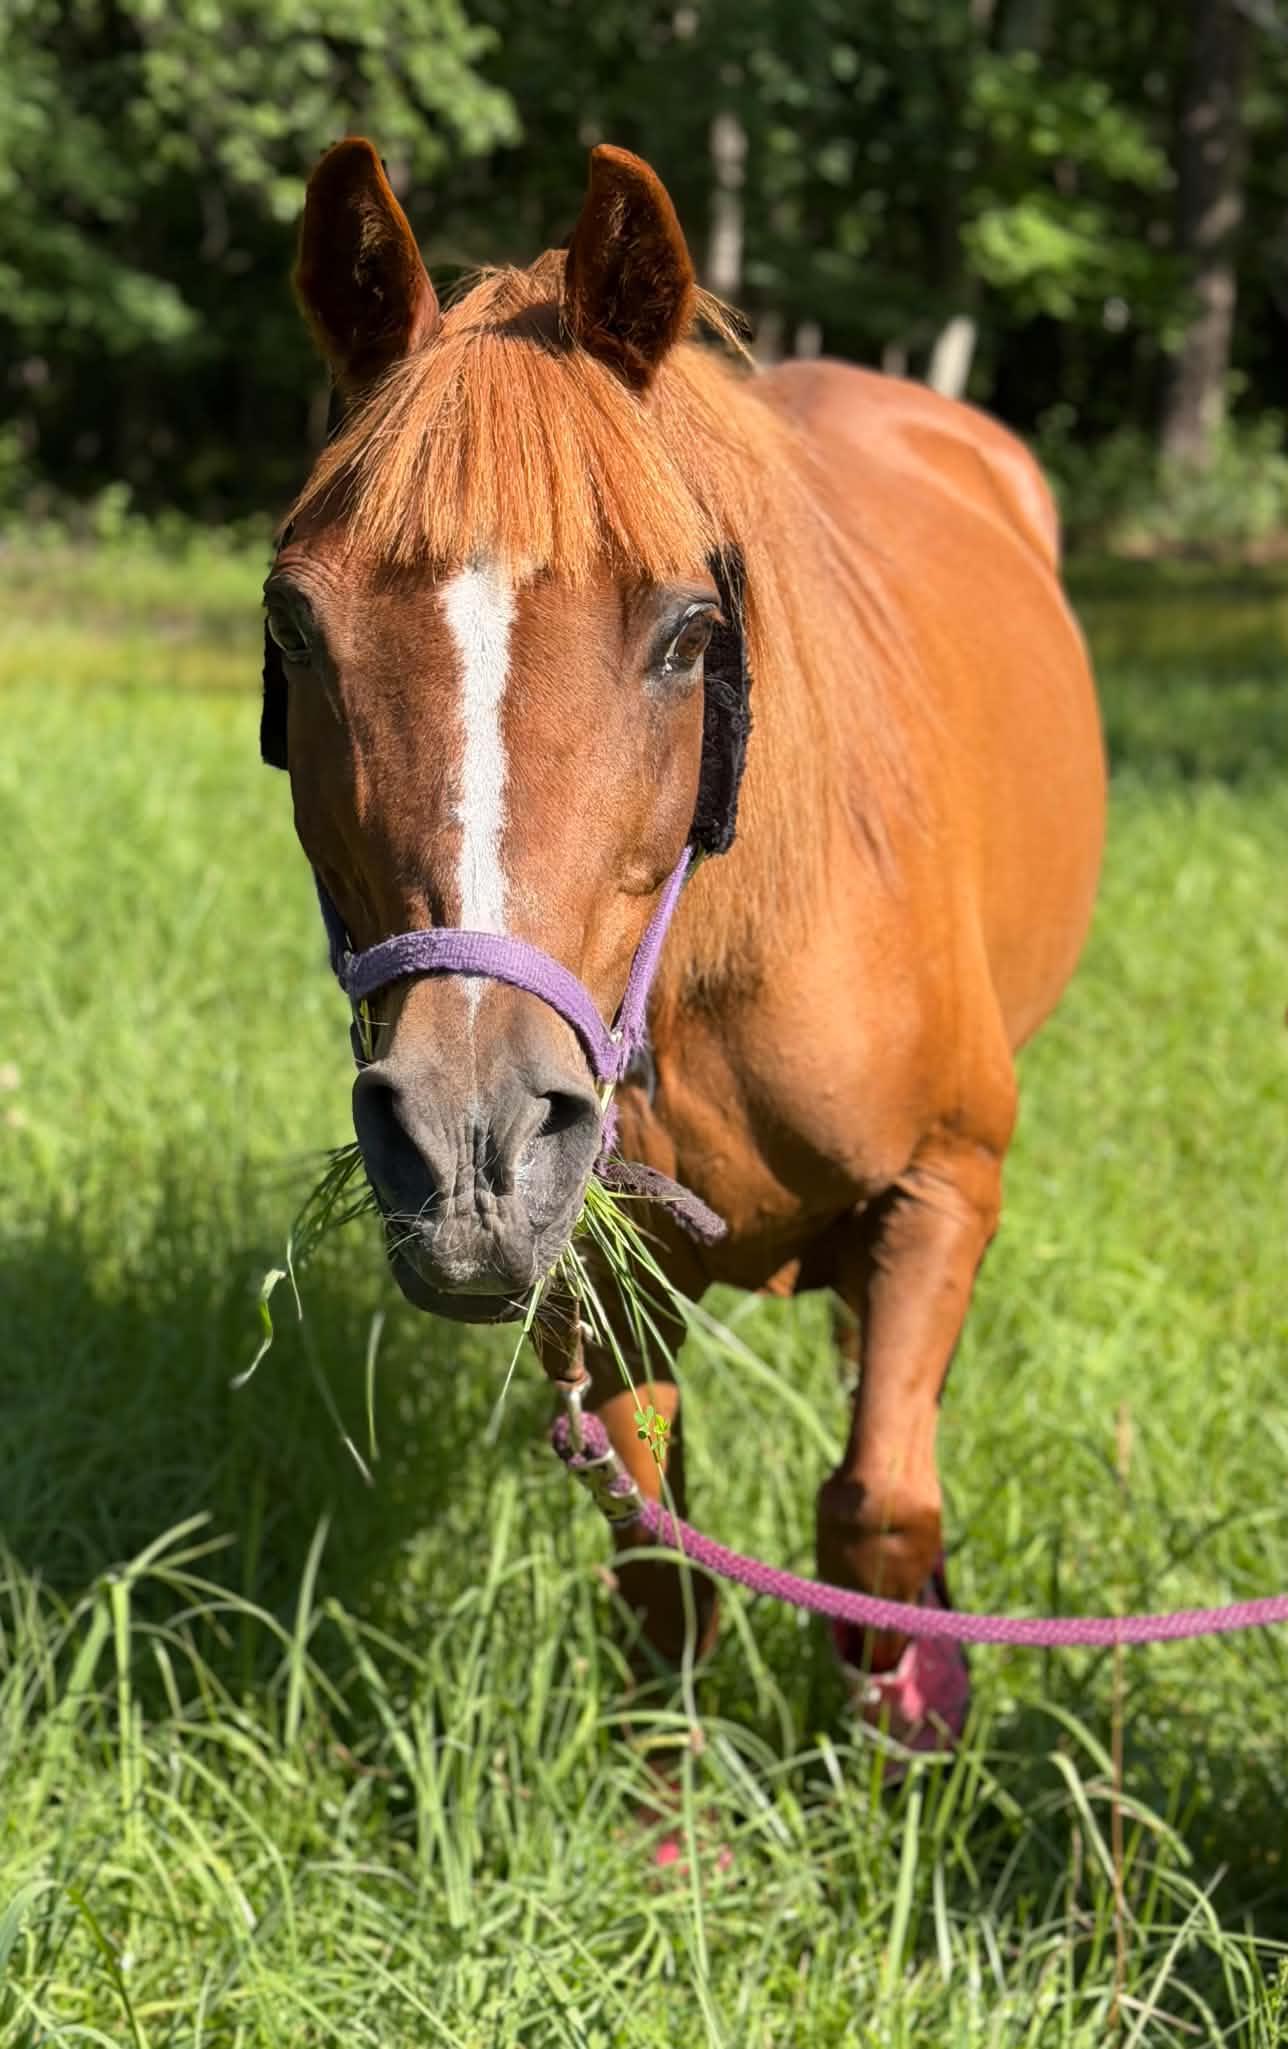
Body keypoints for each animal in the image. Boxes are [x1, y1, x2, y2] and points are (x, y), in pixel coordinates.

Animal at [261, 136, 1105, 1748]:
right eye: (292, 628)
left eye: (690, 634)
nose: (470, 1144)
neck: (727, 969)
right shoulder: (602, 1274)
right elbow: (659, 1555)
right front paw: (675, 1797)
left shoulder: (946, 1184)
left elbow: (876, 1512)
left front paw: (904, 1751)